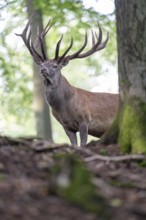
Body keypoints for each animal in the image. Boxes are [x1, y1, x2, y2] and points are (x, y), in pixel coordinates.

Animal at [16, 18, 118, 146]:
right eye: (42, 64)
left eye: (55, 66)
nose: (43, 70)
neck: (64, 108)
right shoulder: (66, 126)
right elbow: (73, 145)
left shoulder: (85, 120)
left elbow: (82, 145)